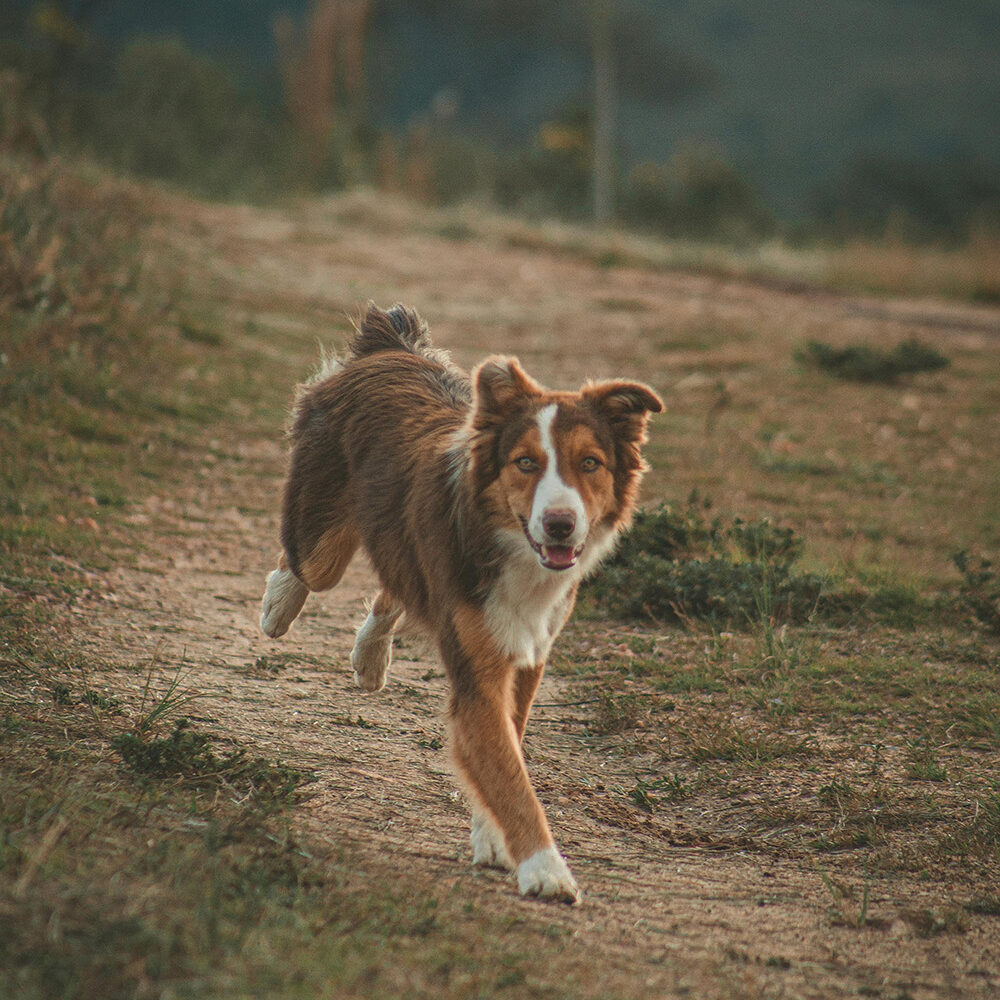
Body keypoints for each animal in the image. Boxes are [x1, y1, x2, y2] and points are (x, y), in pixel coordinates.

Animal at [262, 300, 660, 904]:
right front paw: (545, 869)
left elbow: (505, 756)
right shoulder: (479, 670)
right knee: (304, 564)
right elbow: (509, 774)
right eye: (525, 463)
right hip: (322, 541)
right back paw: (278, 607)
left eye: (590, 463)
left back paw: (370, 655)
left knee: (397, 584)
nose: (560, 524)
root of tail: (393, 346)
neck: (511, 547)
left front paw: (495, 842)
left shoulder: (528, 653)